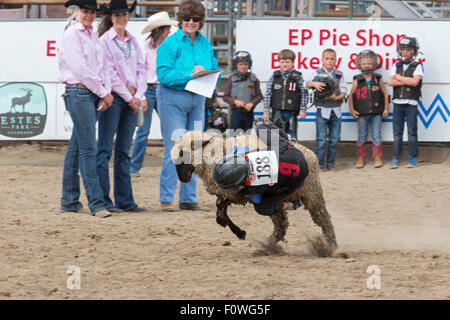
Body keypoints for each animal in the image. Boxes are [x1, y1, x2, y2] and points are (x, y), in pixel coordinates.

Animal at [172, 129, 338, 251]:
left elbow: (220, 207)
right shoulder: (230, 194)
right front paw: (236, 230)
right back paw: (270, 244)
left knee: (323, 219)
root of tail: (311, 153)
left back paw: (331, 246)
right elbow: (221, 208)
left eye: (182, 153)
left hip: (312, 193)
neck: (217, 152)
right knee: (282, 223)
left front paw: (238, 231)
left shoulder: (236, 193)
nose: (183, 179)